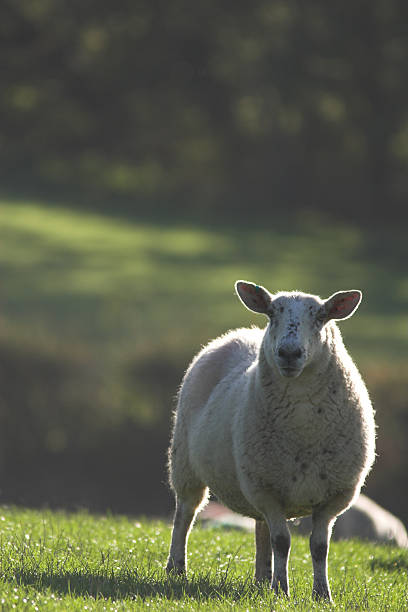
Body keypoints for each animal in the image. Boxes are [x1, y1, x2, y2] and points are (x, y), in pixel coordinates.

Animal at [167, 282, 376, 604]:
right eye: (272, 314)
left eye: (321, 316)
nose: (289, 353)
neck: (303, 423)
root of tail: (242, 332)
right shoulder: (267, 490)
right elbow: (282, 541)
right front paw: (282, 591)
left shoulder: (332, 496)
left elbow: (319, 547)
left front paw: (321, 595)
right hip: (186, 465)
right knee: (185, 516)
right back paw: (177, 569)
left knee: (260, 529)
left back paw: (262, 580)